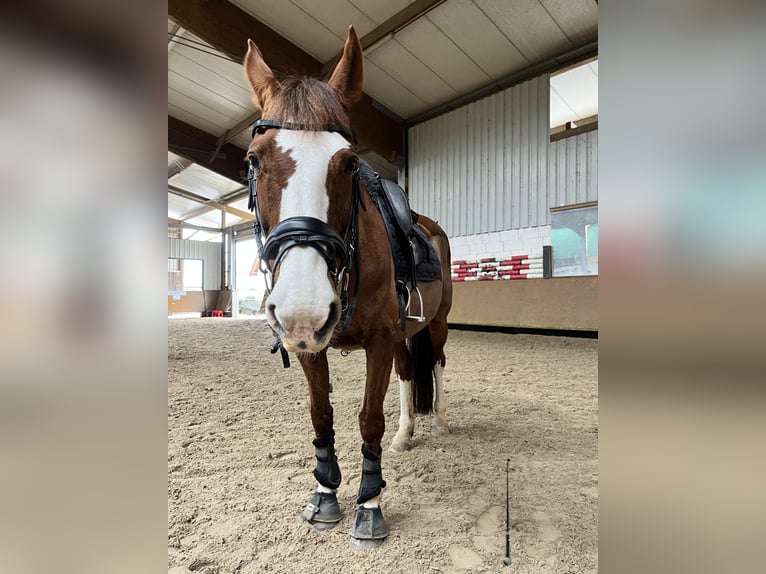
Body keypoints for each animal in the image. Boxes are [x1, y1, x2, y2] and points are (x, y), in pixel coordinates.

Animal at [242, 26, 453, 545]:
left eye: (351, 164)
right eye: (254, 160)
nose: (303, 306)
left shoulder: (378, 341)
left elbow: (368, 419)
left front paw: (370, 503)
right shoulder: (310, 345)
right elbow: (323, 415)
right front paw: (324, 495)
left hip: (435, 325)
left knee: (437, 363)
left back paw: (438, 423)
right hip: (403, 334)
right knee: (408, 373)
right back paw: (406, 434)